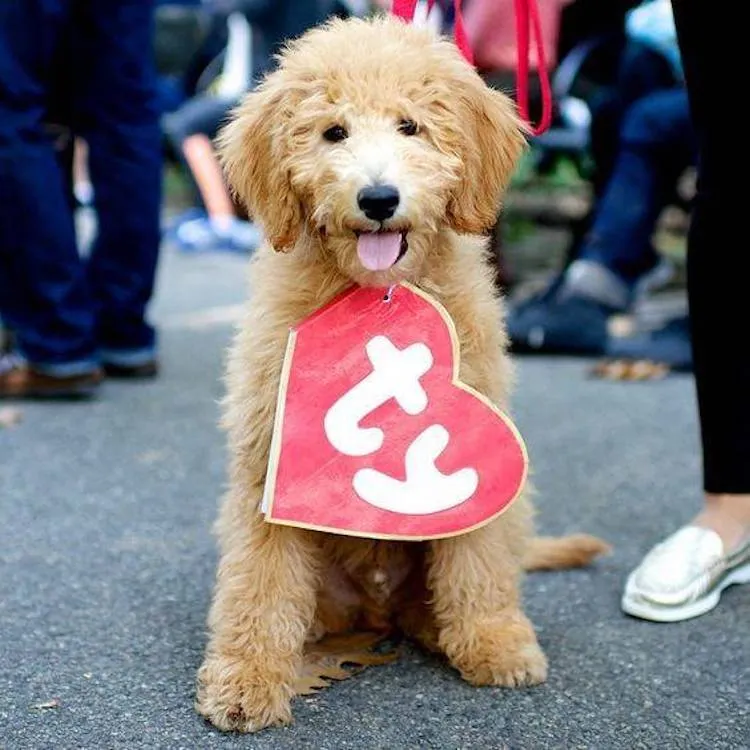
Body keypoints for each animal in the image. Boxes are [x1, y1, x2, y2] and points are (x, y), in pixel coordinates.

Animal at [195, 16, 612, 736]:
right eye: (333, 131)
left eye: (411, 126)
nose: (378, 198)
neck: (378, 290)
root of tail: (377, 607)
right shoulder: (268, 462)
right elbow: (259, 582)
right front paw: (245, 680)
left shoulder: (480, 448)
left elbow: (478, 560)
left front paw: (495, 641)